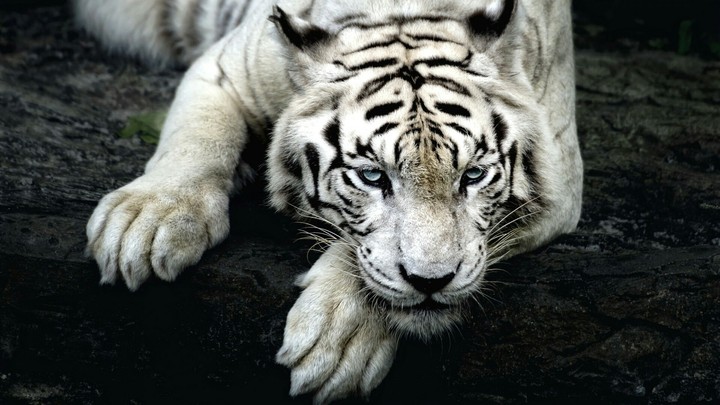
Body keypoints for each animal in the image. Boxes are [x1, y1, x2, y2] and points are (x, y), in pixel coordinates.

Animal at [76, 0, 582, 402]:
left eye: (473, 175)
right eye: (373, 176)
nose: (431, 281)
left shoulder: (560, 180)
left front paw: (338, 339)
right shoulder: (223, 70)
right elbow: (196, 139)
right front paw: (144, 223)